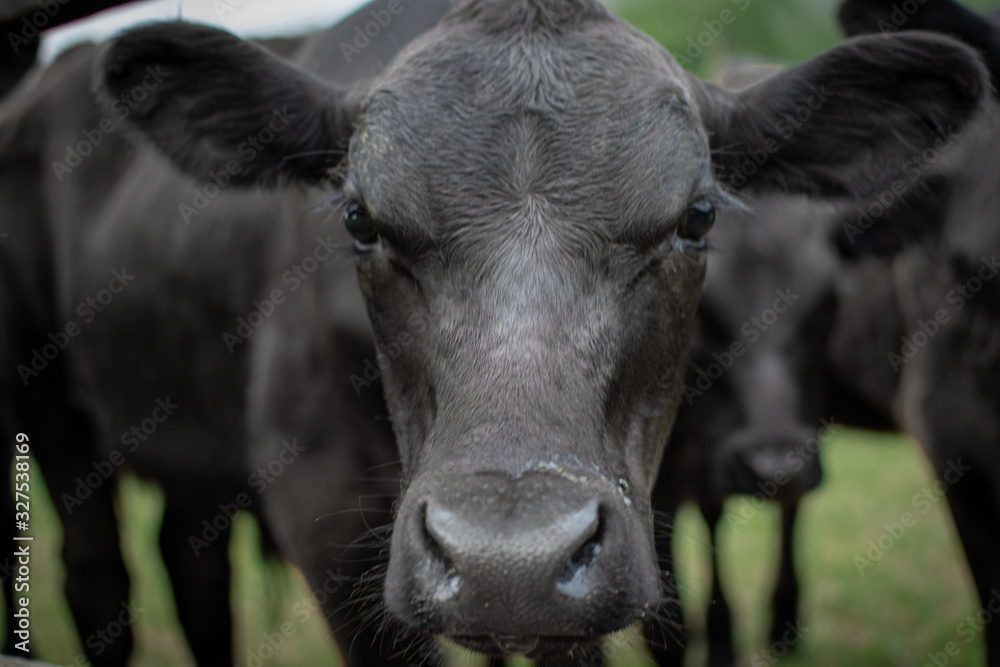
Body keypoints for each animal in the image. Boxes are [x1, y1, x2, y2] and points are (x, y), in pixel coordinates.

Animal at [1, 0, 992, 664]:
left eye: (698, 215)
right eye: (358, 218)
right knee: (99, 582)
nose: (505, 558)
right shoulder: (319, 497)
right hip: (56, 418)